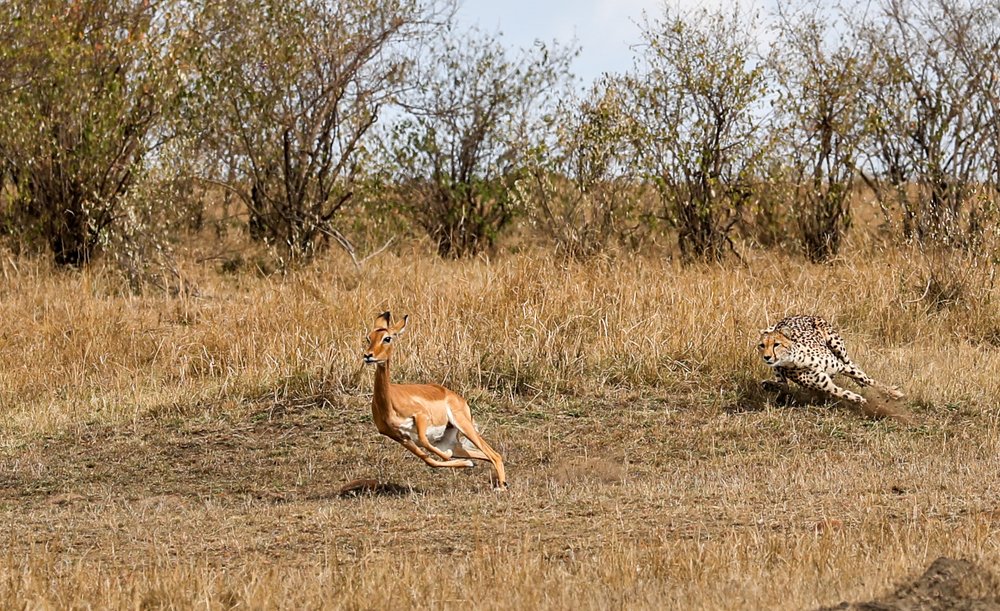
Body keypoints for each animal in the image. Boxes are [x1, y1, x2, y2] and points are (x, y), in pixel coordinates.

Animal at [362, 311, 507, 489]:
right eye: (368, 337)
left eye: (387, 338)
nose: (368, 356)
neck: (389, 403)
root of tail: (458, 398)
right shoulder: (401, 437)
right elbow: (430, 460)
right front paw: (467, 463)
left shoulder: (421, 417)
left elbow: (427, 444)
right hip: (448, 442)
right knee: (483, 454)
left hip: (463, 425)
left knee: (494, 454)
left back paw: (501, 487)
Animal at [757, 315, 904, 405]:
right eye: (762, 345)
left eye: (776, 344)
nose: (767, 357)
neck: (797, 359)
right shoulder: (826, 385)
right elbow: (842, 393)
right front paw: (859, 399)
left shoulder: (841, 367)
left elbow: (870, 380)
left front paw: (893, 393)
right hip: (776, 368)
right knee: (784, 385)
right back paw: (769, 385)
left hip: (836, 344)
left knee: (851, 364)